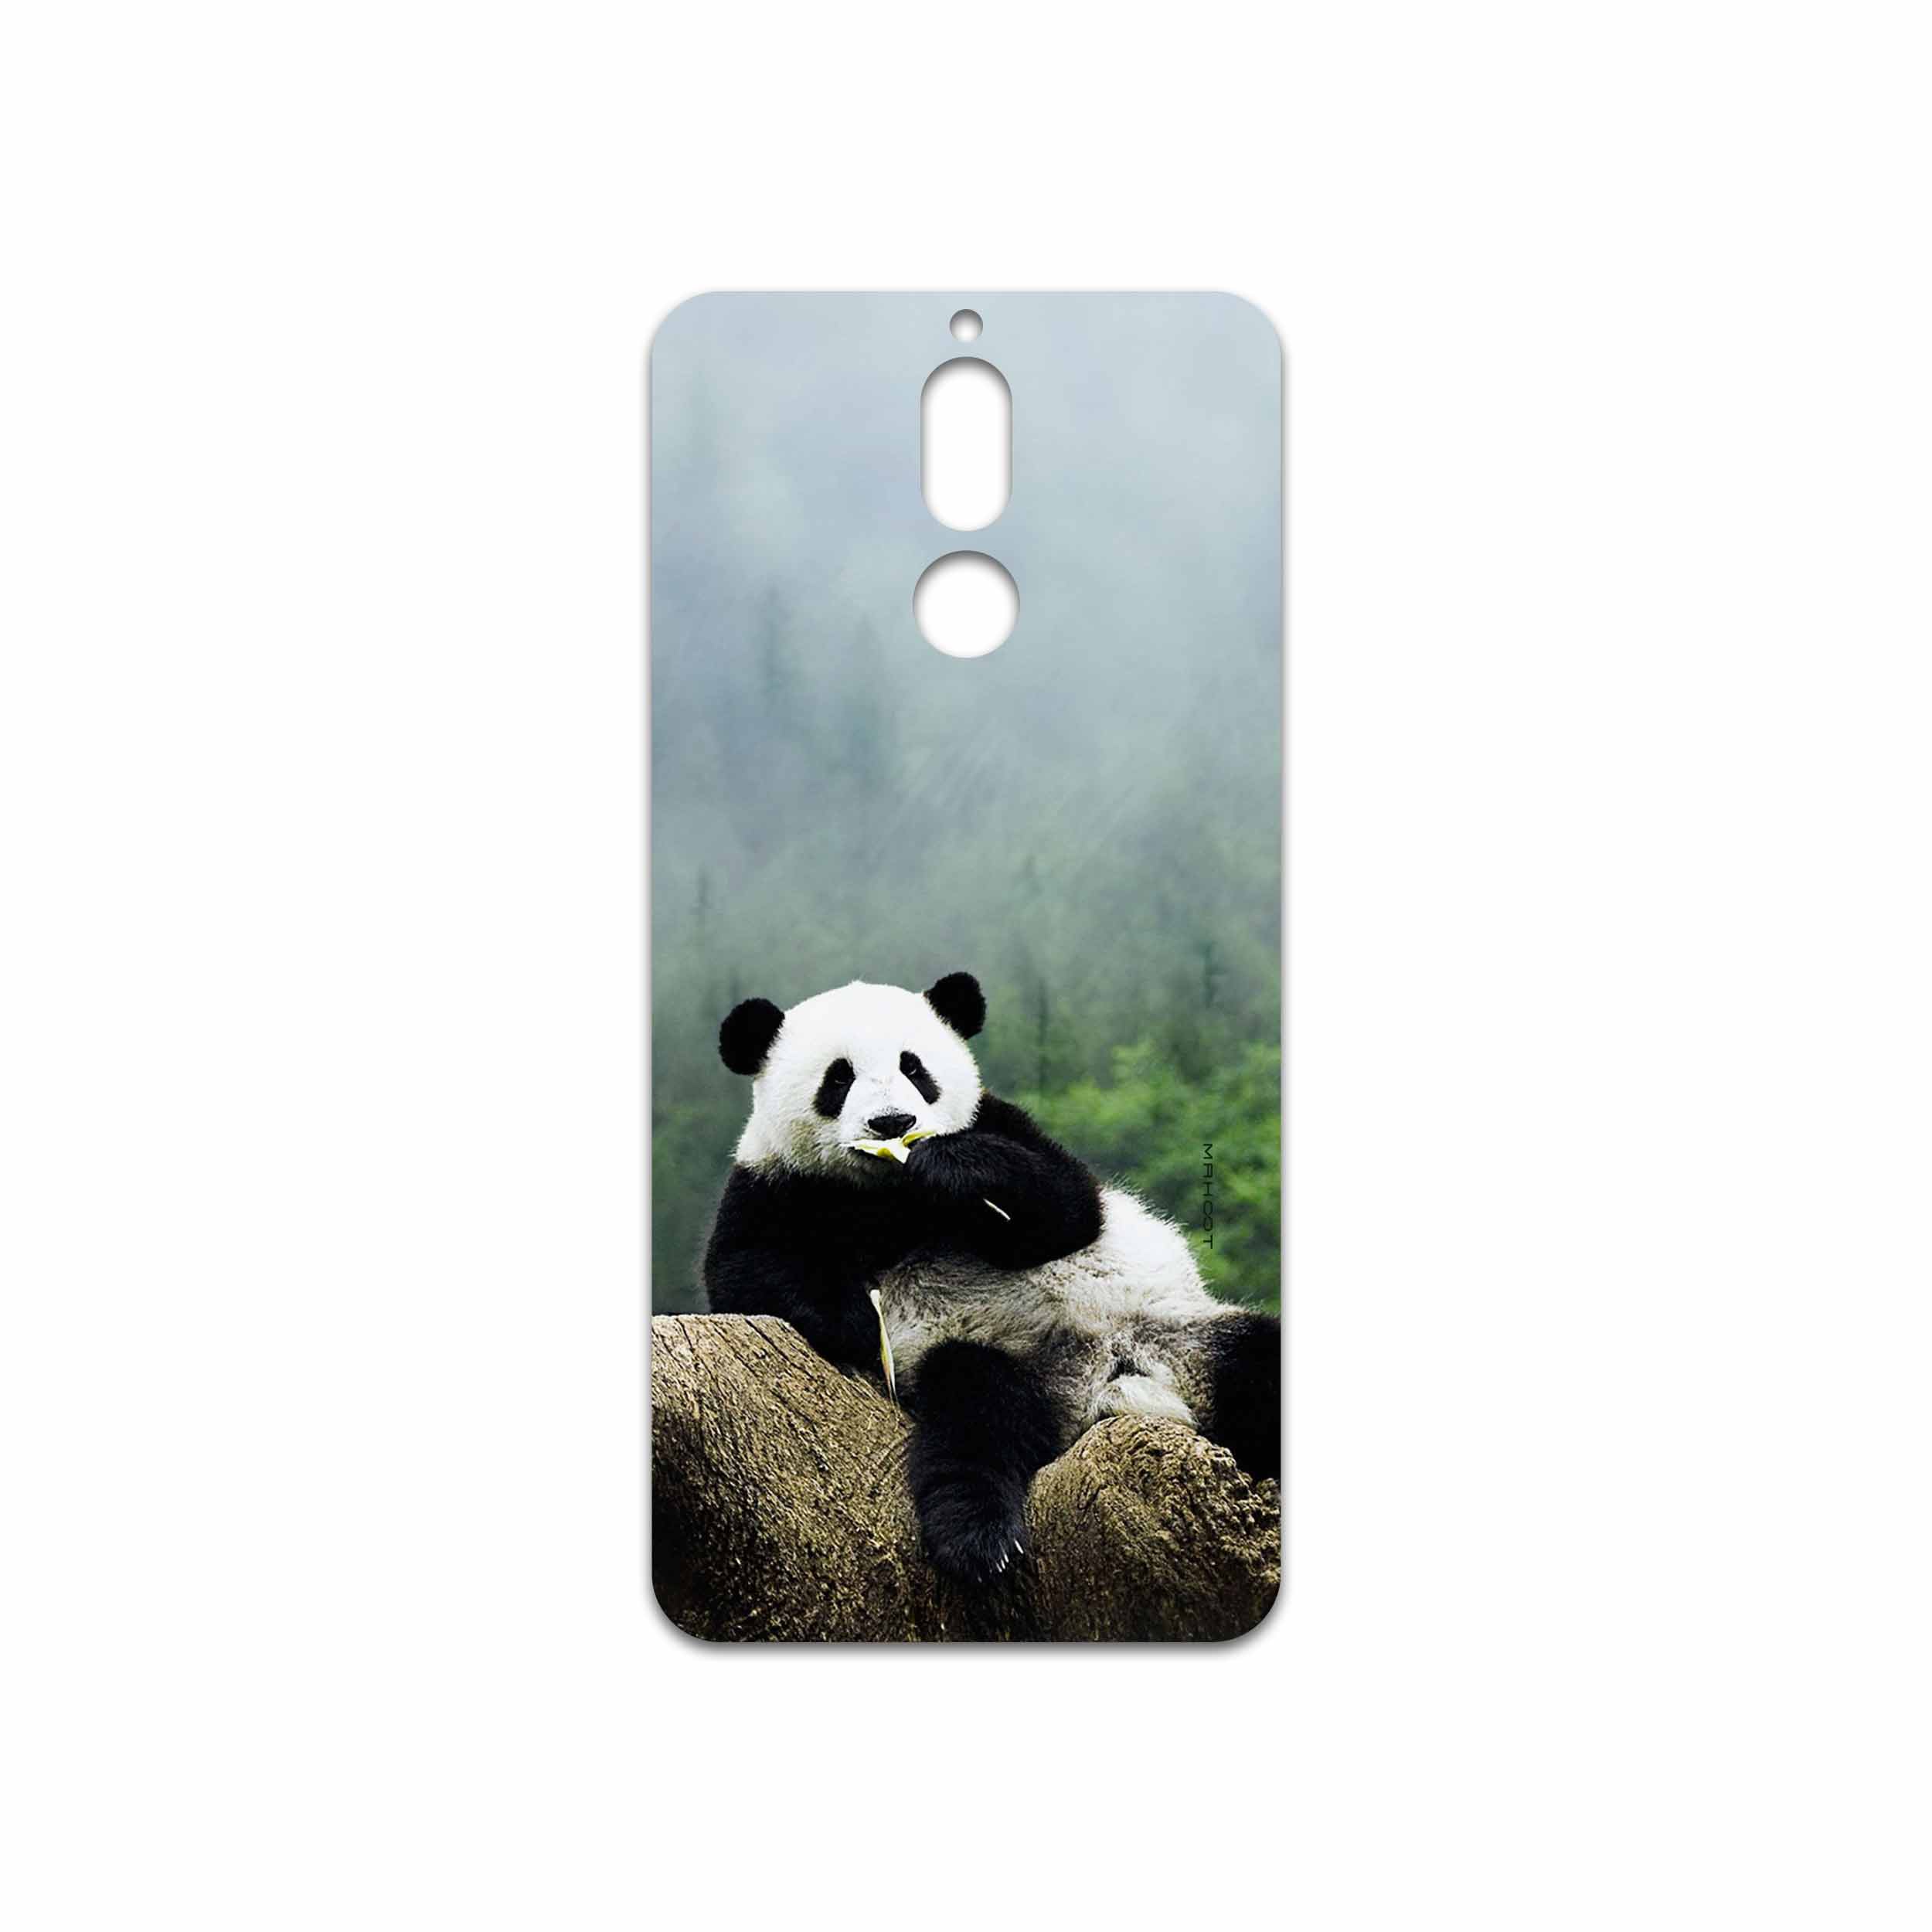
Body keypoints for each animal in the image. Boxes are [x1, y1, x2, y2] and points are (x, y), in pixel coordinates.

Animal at [703, 971, 1280, 1583]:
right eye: (839, 1078)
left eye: (915, 1068)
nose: (893, 1123)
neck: (888, 1195)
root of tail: (1108, 1384)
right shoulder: (774, 1184)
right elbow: (743, 1269)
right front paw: (856, 1320)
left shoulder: (1000, 1123)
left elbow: (1068, 1207)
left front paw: (951, 1168)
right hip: (993, 1359)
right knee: (974, 1422)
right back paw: (980, 1541)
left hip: (1182, 1333)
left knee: (1258, 1361)